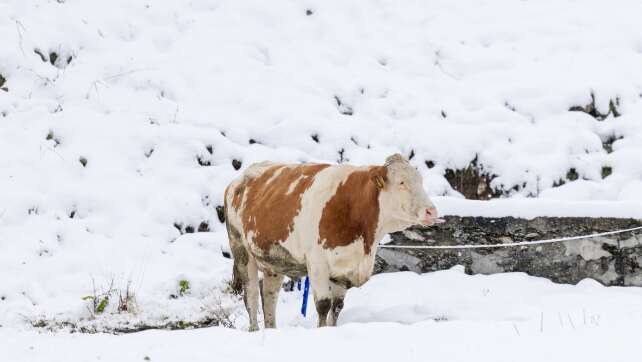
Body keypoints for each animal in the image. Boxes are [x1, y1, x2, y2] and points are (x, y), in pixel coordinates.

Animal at [222, 153, 438, 330]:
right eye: (402, 182)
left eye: (420, 181)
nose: (431, 211)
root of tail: (238, 180)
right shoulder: (317, 263)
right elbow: (323, 305)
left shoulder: (343, 267)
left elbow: (337, 307)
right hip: (241, 250)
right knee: (251, 296)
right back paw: (254, 330)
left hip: (273, 261)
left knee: (268, 296)